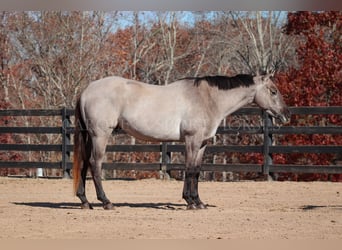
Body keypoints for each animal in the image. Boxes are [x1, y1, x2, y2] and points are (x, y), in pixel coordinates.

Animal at [73, 73, 290, 210]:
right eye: (273, 91)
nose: (286, 115)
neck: (208, 99)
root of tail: (86, 91)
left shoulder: (202, 143)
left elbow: (197, 170)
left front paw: (199, 202)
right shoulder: (192, 140)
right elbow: (190, 169)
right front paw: (190, 202)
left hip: (90, 136)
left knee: (84, 163)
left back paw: (85, 201)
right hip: (100, 135)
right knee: (94, 164)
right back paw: (106, 202)